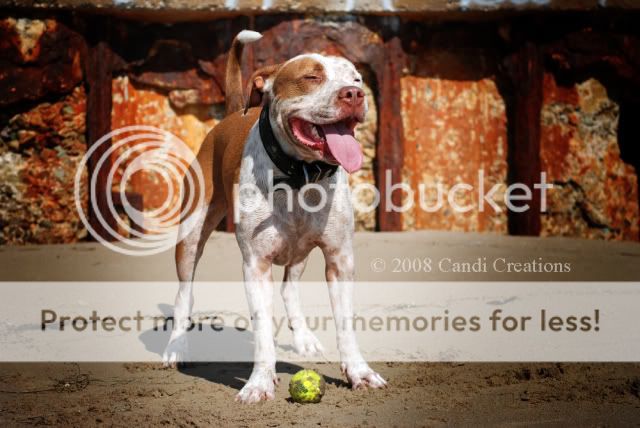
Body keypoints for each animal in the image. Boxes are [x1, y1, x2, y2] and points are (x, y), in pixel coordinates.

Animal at [162, 29, 388, 402]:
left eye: (356, 78)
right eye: (311, 77)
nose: (354, 94)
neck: (300, 175)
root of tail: (231, 115)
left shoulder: (340, 259)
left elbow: (345, 324)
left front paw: (359, 372)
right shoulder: (256, 265)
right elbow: (263, 330)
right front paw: (259, 383)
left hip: (299, 251)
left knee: (290, 287)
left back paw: (304, 338)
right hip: (191, 236)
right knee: (184, 292)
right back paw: (177, 346)